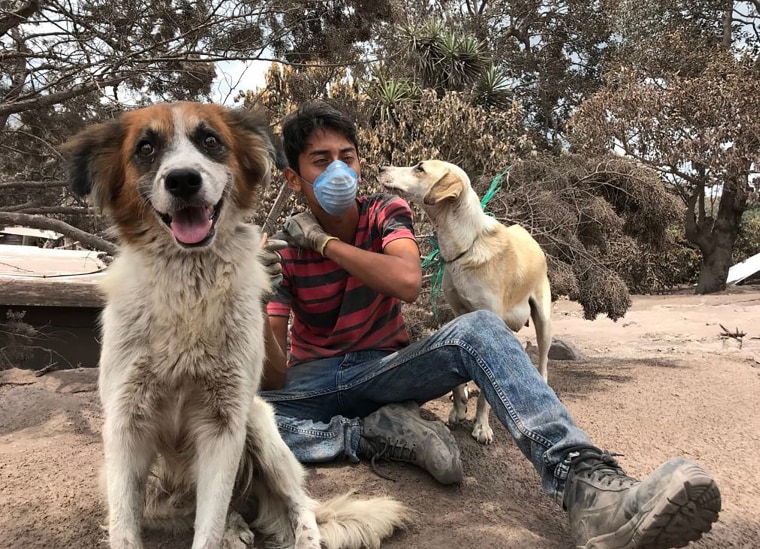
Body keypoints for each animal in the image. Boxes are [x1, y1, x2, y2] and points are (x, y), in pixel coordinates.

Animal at [63, 101, 410, 544]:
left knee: (300, 505)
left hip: (260, 426)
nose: (183, 181)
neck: (190, 289)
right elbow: (126, 530)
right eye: (145, 148)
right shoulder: (126, 425)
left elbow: (207, 529)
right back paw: (235, 527)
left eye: (211, 141)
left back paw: (297, 537)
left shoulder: (225, 424)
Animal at [380, 161, 552, 444]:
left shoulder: (489, 318)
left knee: (544, 361)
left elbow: (486, 392)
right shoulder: (459, 312)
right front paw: (458, 406)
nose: (382, 168)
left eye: (419, 168)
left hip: (544, 321)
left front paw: (481, 426)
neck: (464, 247)